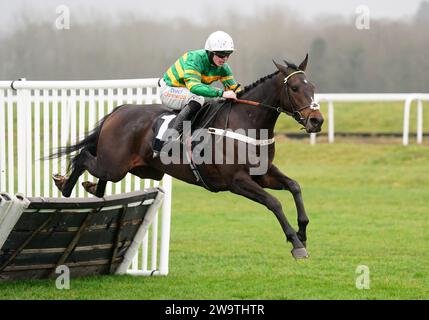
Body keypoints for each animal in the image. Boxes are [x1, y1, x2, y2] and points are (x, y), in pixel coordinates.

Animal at [51, 55, 322, 258]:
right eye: (295, 88)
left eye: (313, 88)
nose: (317, 121)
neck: (245, 124)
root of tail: (120, 109)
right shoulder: (237, 181)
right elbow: (274, 203)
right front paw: (296, 243)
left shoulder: (263, 173)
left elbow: (294, 187)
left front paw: (303, 231)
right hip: (115, 165)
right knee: (84, 156)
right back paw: (65, 185)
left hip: (137, 168)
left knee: (98, 175)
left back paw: (90, 187)